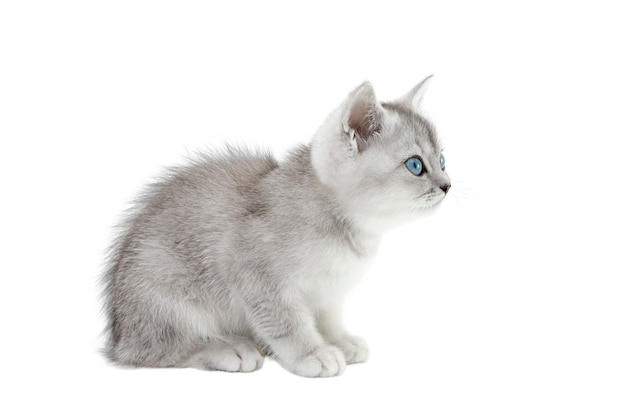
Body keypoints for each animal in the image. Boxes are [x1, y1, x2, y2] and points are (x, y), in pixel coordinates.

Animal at [100, 75, 448, 376]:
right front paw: (312, 353)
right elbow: (286, 322)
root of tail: (118, 335)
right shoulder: (254, 273)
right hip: (162, 291)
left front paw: (338, 340)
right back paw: (226, 348)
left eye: (443, 160)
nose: (447, 185)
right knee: (159, 350)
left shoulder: (329, 290)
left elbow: (327, 317)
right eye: (415, 165)